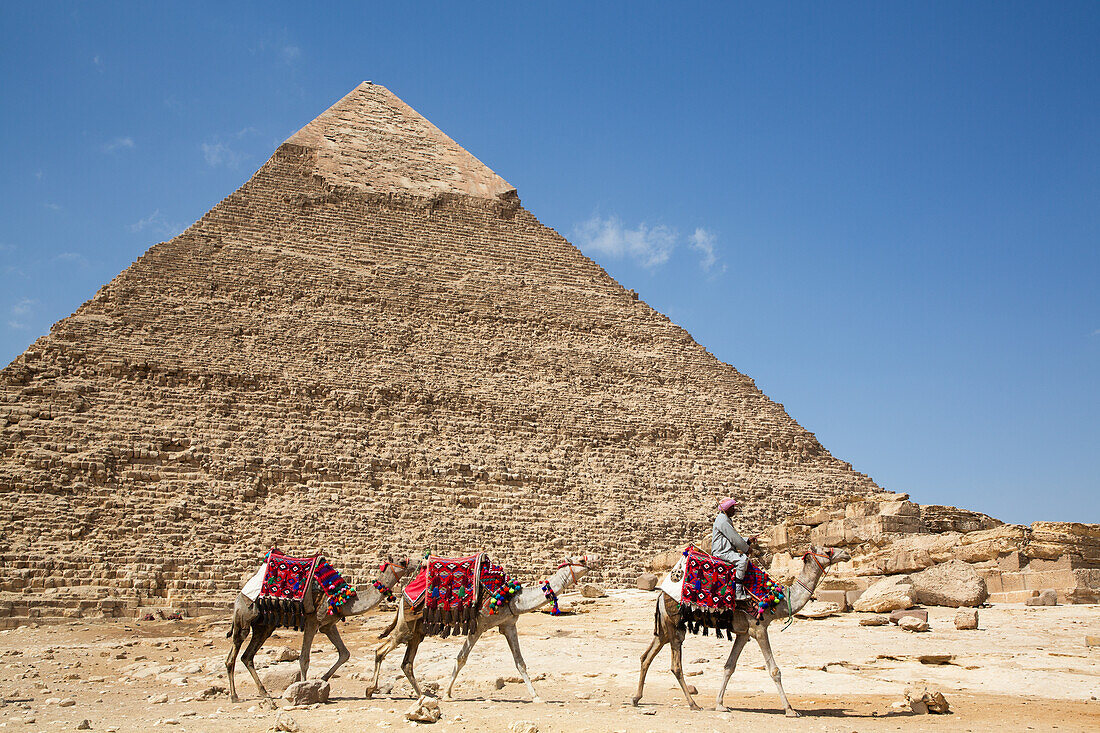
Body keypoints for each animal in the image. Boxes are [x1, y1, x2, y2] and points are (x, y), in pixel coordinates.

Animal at [225, 556, 418, 704]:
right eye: (402, 560)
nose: (417, 563)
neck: (345, 599)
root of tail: (240, 595)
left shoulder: (328, 625)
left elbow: (344, 653)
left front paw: (322, 680)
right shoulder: (313, 621)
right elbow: (304, 658)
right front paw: (302, 691)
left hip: (264, 626)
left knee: (247, 656)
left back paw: (264, 693)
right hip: (244, 619)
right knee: (233, 656)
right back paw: (235, 696)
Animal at [365, 550, 598, 699]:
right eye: (579, 558)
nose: (596, 558)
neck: (512, 597)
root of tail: (405, 592)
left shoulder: (508, 625)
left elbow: (520, 662)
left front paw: (536, 695)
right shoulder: (479, 625)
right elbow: (461, 658)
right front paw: (447, 694)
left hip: (418, 629)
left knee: (407, 663)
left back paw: (422, 696)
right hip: (406, 625)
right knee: (381, 650)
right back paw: (370, 690)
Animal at [638, 545, 849, 717]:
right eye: (827, 550)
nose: (846, 554)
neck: (777, 600)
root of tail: (661, 595)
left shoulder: (743, 633)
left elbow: (729, 667)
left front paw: (720, 704)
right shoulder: (759, 629)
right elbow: (774, 670)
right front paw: (790, 709)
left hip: (664, 628)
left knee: (646, 656)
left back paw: (636, 698)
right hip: (675, 625)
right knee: (676, 666)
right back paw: (693, 704)